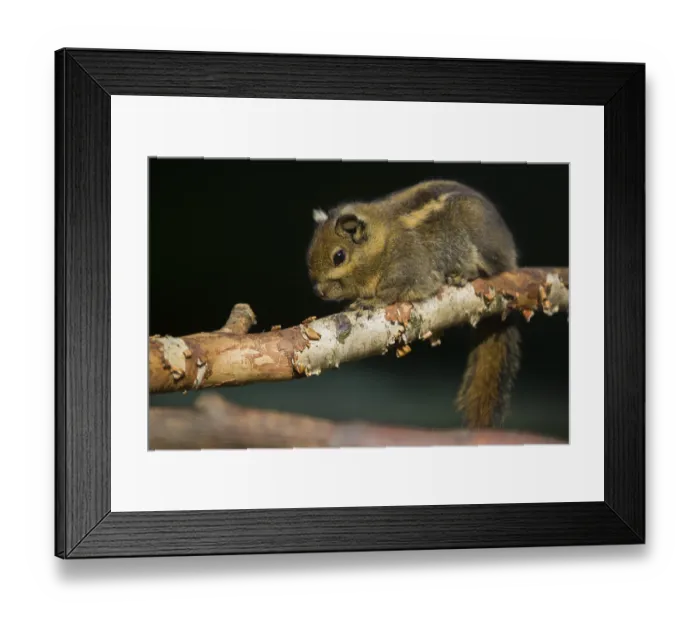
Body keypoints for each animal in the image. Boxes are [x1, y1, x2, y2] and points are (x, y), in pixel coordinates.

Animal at [306, 179, 521, 429]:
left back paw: (464, 275)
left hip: (483, 244)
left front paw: (369, 302)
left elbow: (394, 291)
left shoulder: (409, 269)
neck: (383, 243)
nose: (318, 291)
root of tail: (509, 254)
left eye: (339, 256)